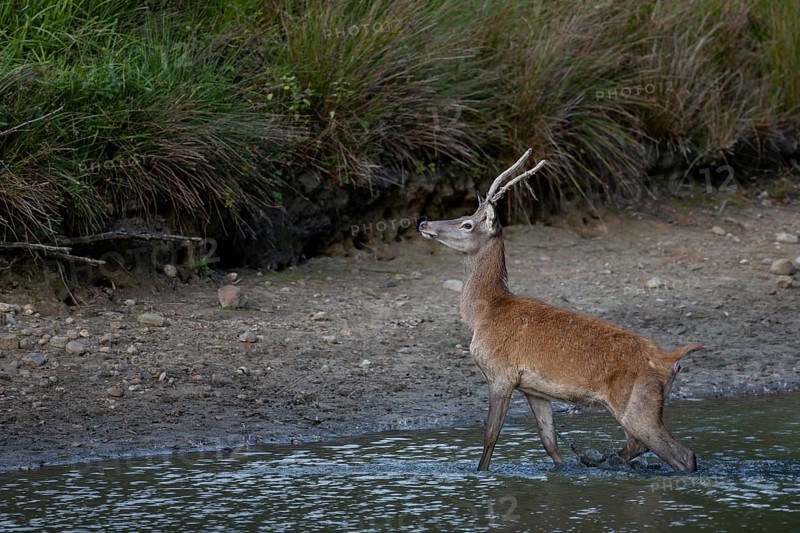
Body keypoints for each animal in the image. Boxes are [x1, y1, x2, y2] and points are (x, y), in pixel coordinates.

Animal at [418, 149, 702, 473]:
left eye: (467, 223)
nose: (424, 223)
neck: (482, 315)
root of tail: (671, 360)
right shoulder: (533, 389)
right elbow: (549, 442)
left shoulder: (500, 374)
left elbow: (490, 435)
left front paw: (480, 474)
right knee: (641, 445)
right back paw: (601, 460)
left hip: (637, 403)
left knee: (682, 455)